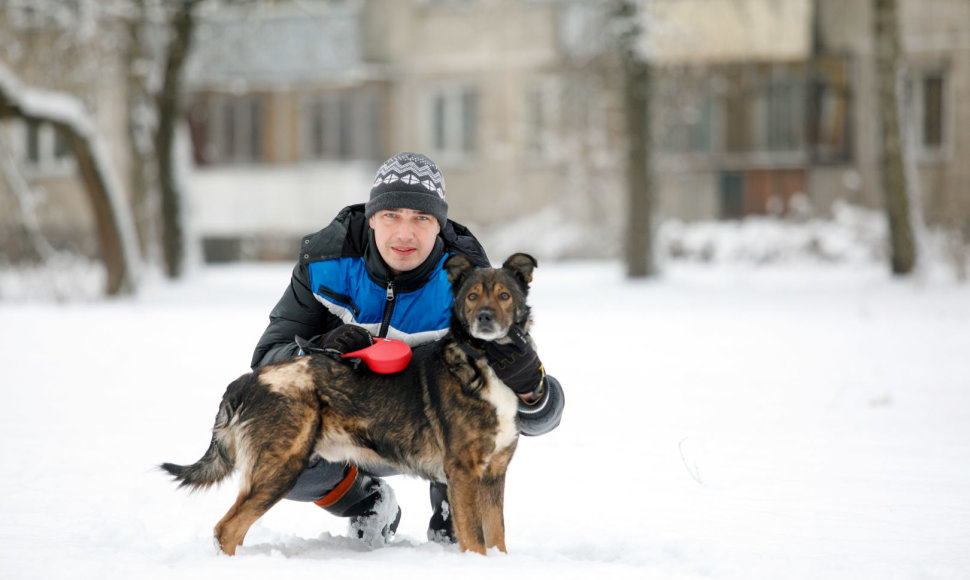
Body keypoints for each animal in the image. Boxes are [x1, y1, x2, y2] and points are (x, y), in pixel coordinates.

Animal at [160, 251, 536, 556]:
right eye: (472, 296)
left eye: (504, 296)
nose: (484, 318)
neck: (483, 360)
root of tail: (249, 381)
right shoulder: (464, 473)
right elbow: (475, 540)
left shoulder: (493, 474)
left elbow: (496, 536)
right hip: (283, 466)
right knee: (226, 529)